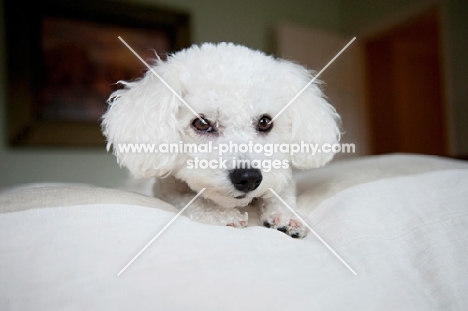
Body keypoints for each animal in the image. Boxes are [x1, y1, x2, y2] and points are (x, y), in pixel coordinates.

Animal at [101, 42, 340, 239]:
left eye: (265, 122)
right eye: (201, 123)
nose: (248, 178)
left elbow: (281, 192)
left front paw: (286, 215)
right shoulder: (165, 190)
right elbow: (192, 199)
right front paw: (221, 214)